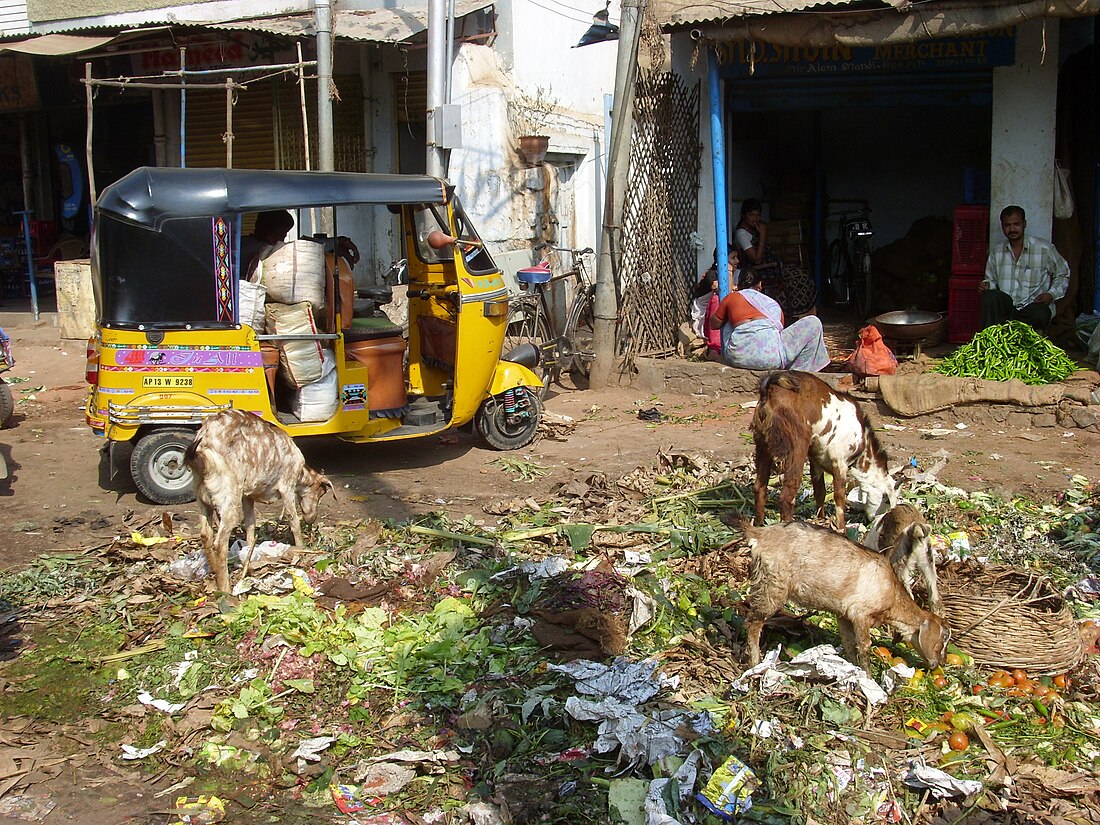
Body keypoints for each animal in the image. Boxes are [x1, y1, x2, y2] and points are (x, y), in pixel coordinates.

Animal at [184, 411, 332, 594]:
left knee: (205, 534)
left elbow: (250, 525)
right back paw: (225, 588)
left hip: (202, 499)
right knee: (220, 543)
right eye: (320, 493)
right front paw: (301, 550)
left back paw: (213, 570)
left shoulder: (247, 496)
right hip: (229, 497)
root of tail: (203, 446)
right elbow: (294, 522)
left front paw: (250, 555)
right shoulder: (287, 487)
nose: (312, 519)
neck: (301, 473)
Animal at [743, 519, 950, 673]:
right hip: (773, 586)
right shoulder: (861, 614)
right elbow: (864, 646)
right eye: (942, 641)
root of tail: (759, 534)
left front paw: (852, 667)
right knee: (753, 622)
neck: (892, 592)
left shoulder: (843, 615)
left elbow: (849, 643)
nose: (941, 663)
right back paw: (755, 662)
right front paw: (868, 676)